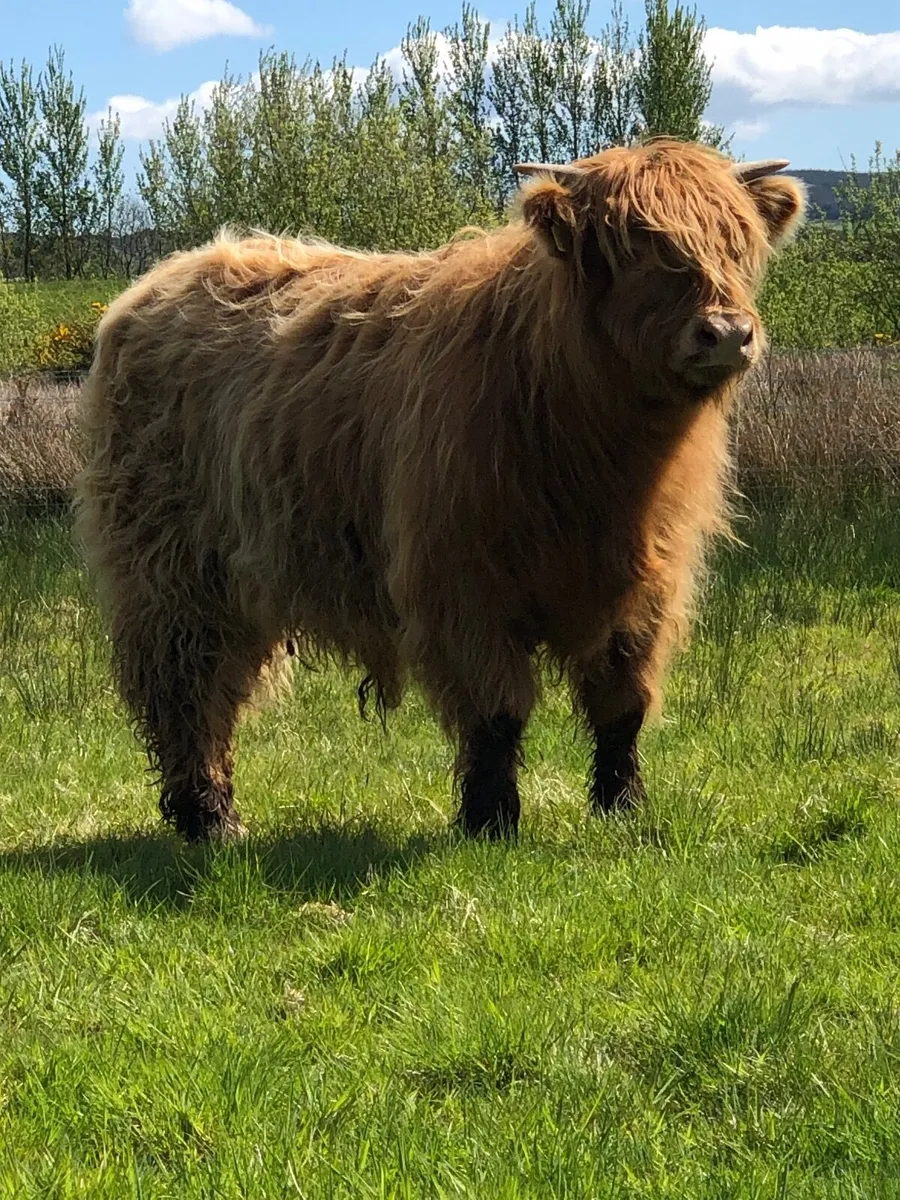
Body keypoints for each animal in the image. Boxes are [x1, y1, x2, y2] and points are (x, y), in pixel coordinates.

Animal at [75, 140, 805, 842]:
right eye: (635, 246)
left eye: (738, 243)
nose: (726, 333)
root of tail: (161, 280)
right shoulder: (460, 581)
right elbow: (497, 709)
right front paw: (490, 818)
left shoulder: (650, 581)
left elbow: (623, 701)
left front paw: (621, 807)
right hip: (172, 573)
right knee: (186, 694)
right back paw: (209, 819)